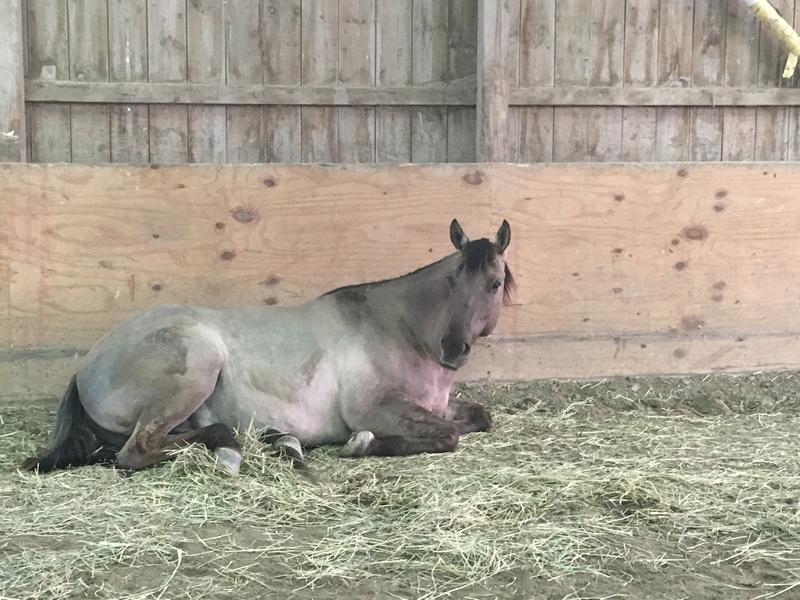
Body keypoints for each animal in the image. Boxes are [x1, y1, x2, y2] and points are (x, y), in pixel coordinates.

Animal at [23, 219, 514, 475]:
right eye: (452, 282)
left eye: (492, 284)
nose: (453, 349)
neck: (396, 328)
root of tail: (87, 366)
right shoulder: (375, 408)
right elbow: (446, 435)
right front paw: (360, 444)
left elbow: (479, 418)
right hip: (196, 368)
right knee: (136, 452)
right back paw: (234, 450)